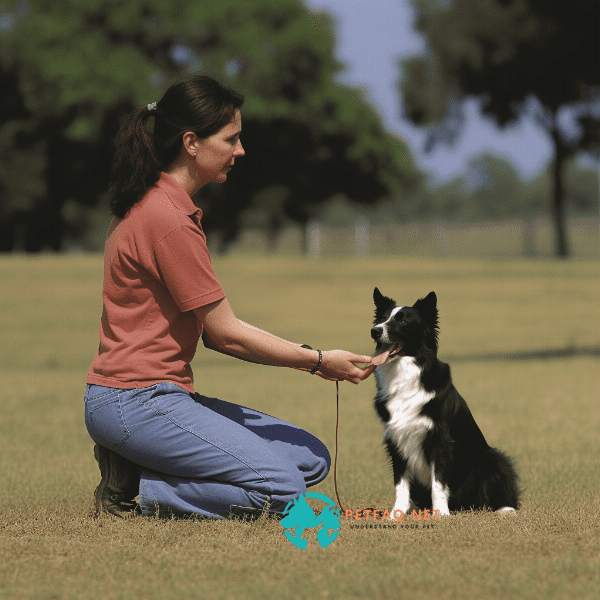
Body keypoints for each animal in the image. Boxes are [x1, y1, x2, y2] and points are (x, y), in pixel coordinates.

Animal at [370, 290, 520, 516]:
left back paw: (505, 508)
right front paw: (397, 514)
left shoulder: (440, 440)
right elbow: (400, 484)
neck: (405, 374)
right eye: (381, 318)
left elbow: (438, 482)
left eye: (403, 321)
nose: (375, 331)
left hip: (492, 459)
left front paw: (440, 513)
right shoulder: (396, 439)